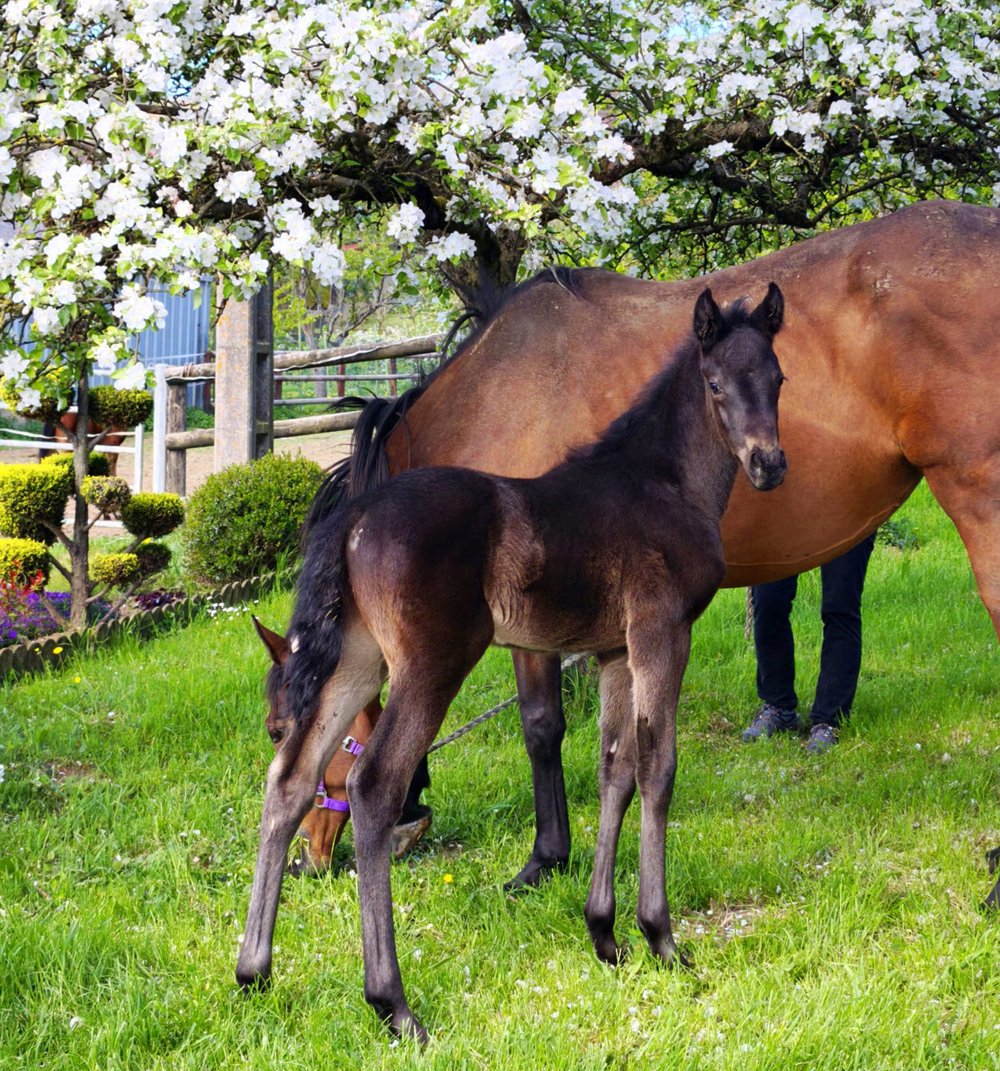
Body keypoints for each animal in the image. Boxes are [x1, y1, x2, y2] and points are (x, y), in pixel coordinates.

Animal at [238, 286, 789, 1039]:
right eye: (714, 384)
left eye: (778, 378)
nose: (770, 465)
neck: (662, 481)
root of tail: (353, 518)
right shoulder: (661, 634)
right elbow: (657, 767)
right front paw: (663, 939)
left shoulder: (614, 651)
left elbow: (615, 767)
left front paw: (605, 935)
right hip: (432, 663)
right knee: (376, 784)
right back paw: (393, 1003)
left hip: (356, 664)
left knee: (290, 781)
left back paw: (254, 974)